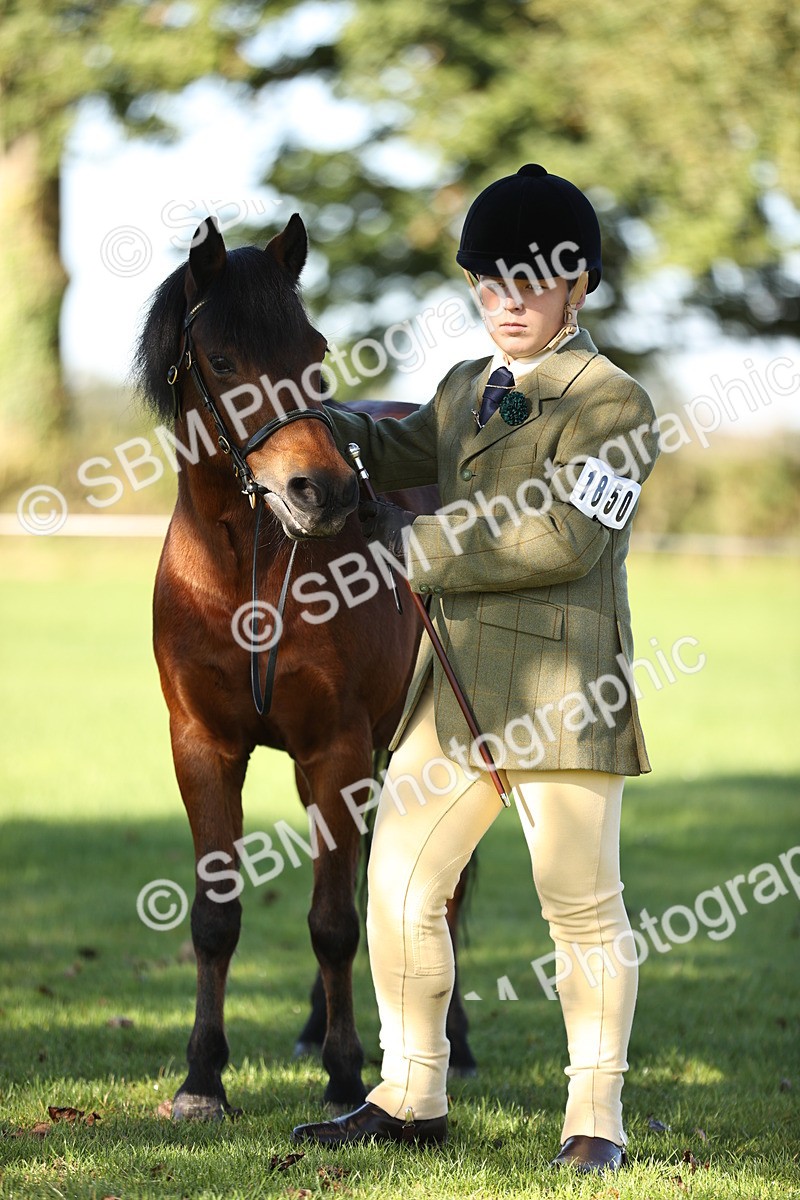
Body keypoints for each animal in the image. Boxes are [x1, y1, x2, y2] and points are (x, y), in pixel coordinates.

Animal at [133, 214, 475, 1120]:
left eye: (314, 346)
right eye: (221, 360)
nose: (322, 491)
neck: (246, 574)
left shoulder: (338, 749)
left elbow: (332, 923)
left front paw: (347, 1076)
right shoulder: (205, 747)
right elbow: (217, 919)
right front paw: (202, 1080)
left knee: (445, 889)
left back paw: (456, 1043)